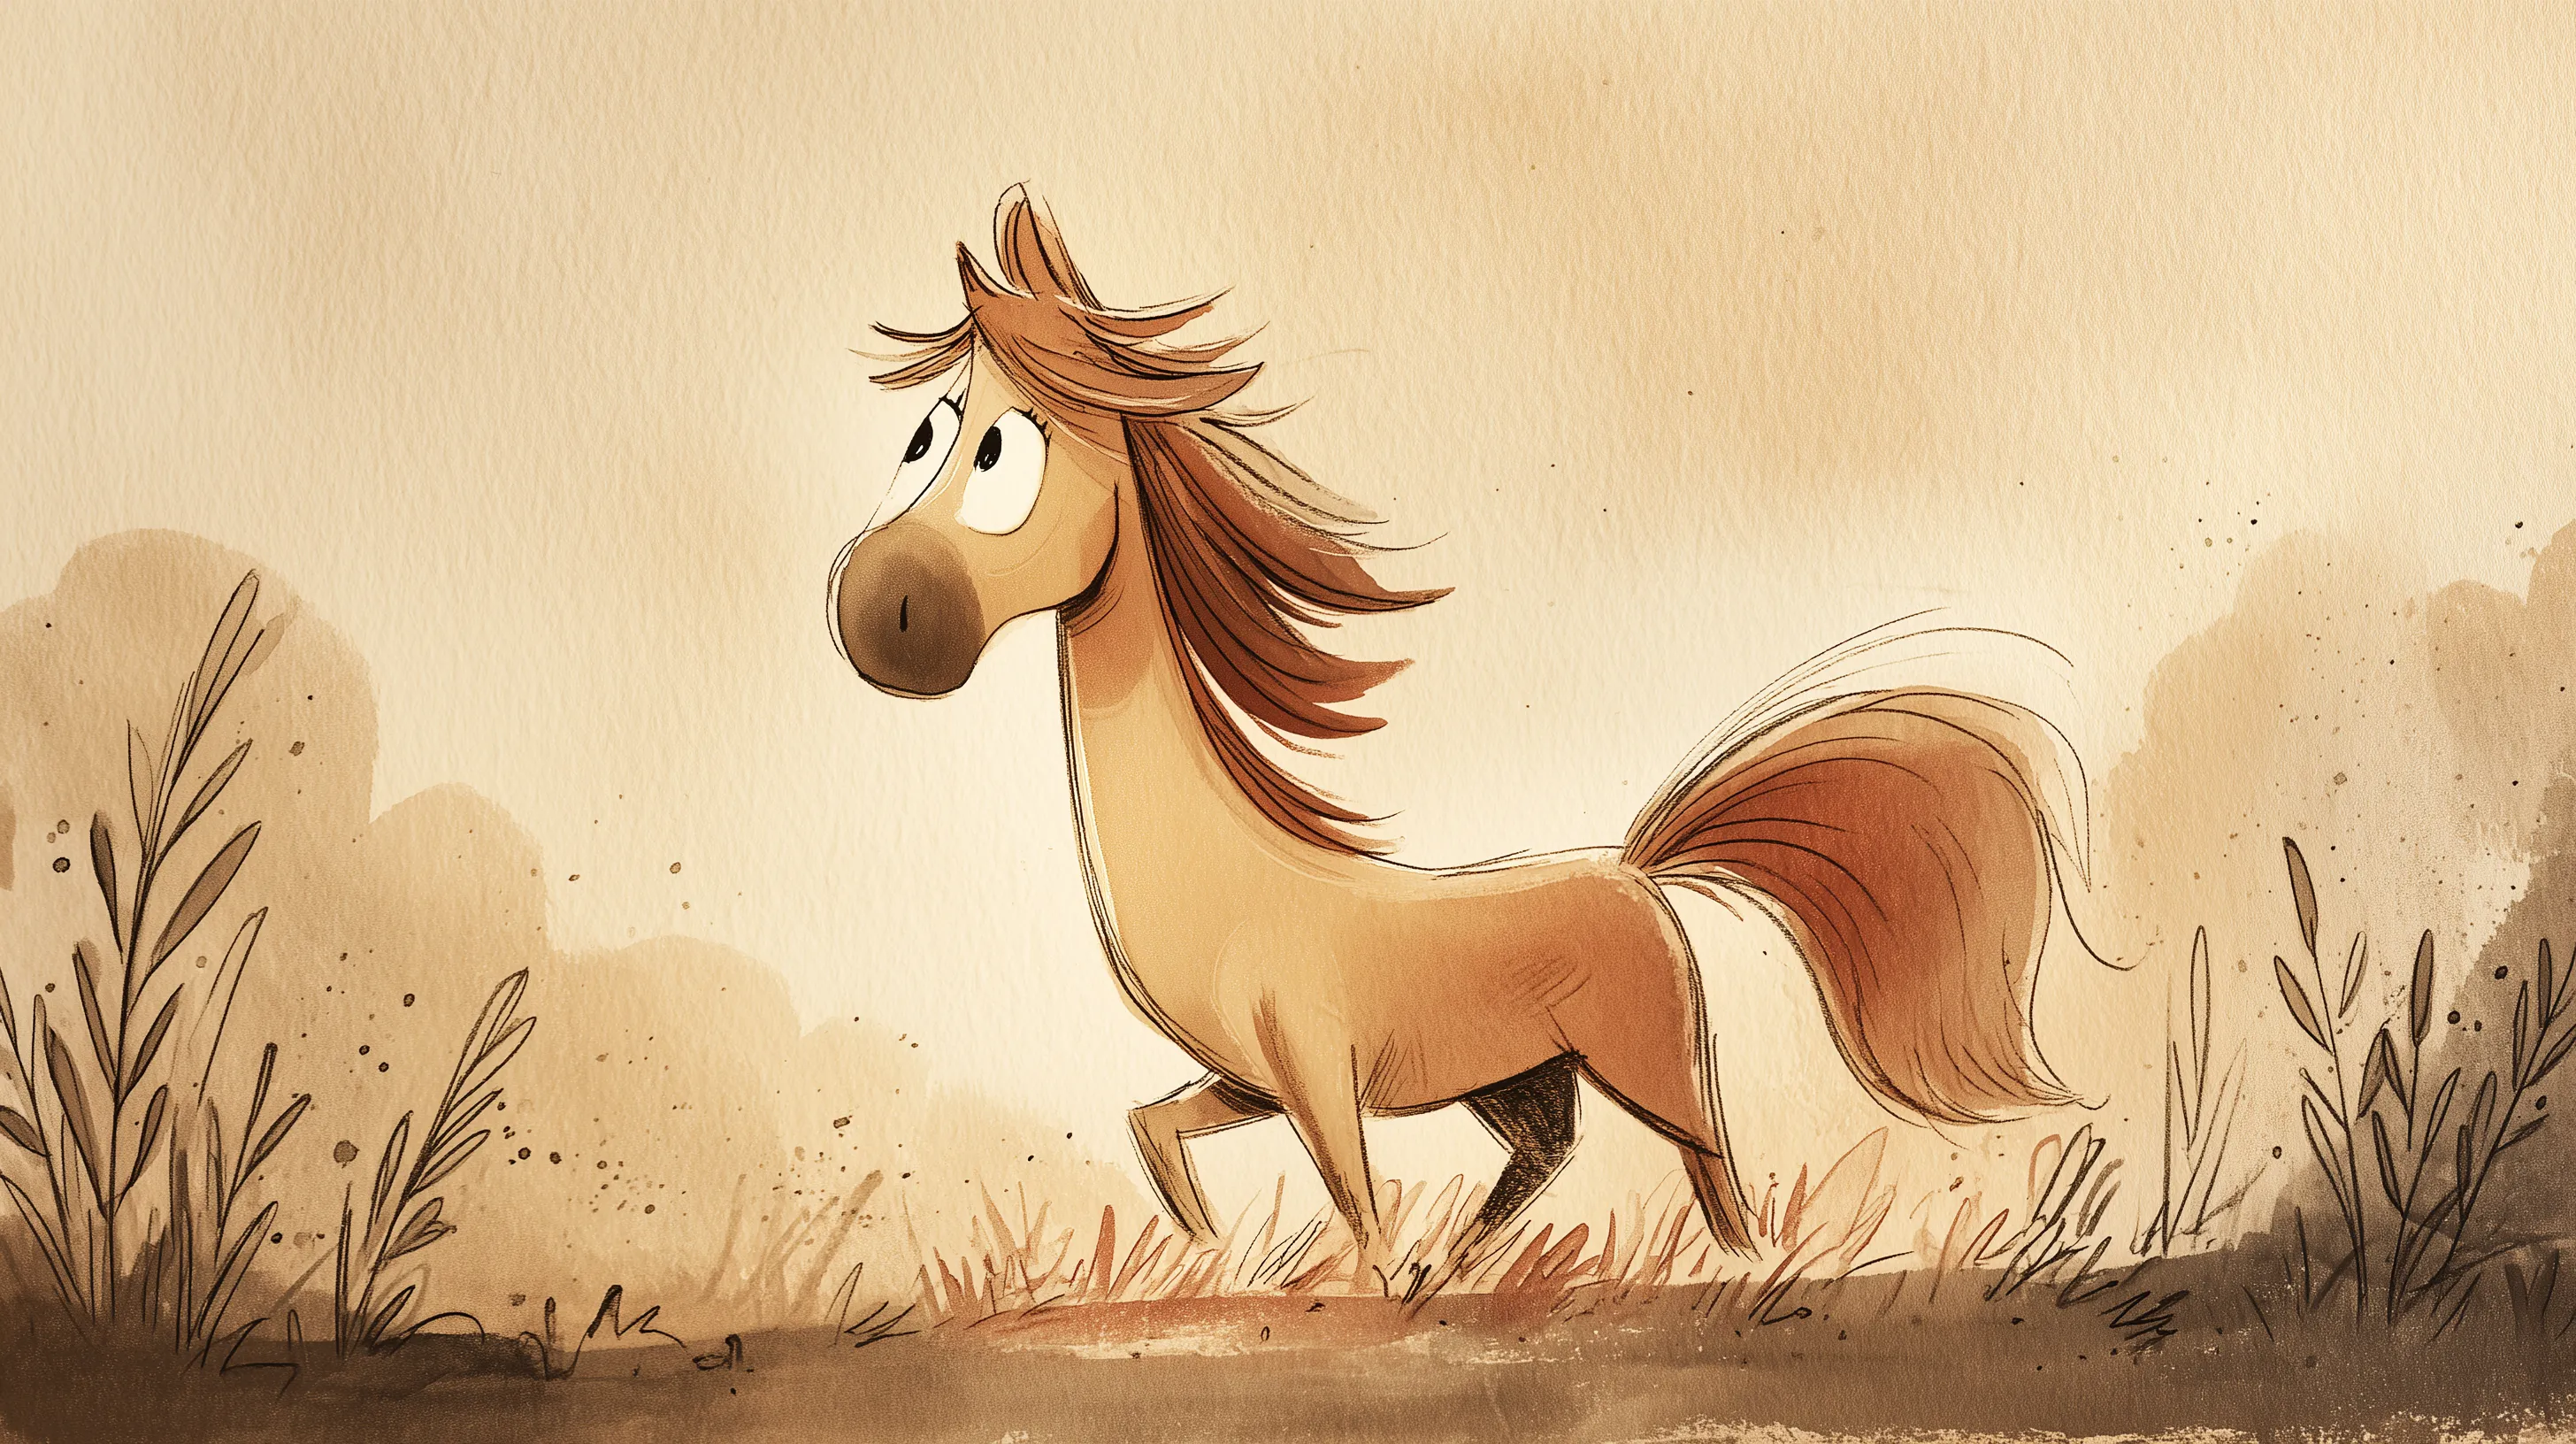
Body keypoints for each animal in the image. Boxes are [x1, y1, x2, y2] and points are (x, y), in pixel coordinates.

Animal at [830, 187, 2085, 1292]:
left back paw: (1724, 1268)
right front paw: (1213, 1252)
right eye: (923, 434)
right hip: (1518, 1078)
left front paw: (1350, 1277)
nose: (876, 608)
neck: (1228, 876)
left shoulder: (1316, 1076)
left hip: (1654, 1064)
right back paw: (1468, 1264)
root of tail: (1638, 871)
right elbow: (1153, 1128)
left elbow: (1359, 1221)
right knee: (1549, 1153)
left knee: (1714, 1177)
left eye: (999, 450)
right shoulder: (1252, 1078)